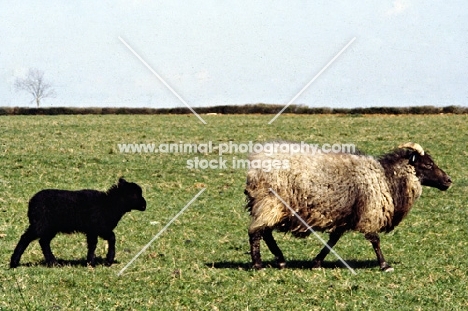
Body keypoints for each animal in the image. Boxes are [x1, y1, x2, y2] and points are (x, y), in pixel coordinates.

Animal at [10, 178, 146, 268]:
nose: (145, 205)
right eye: (135, 194)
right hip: (40, 224)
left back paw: (53, 263)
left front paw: (90, 262)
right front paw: (107, 260)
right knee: (26, 238)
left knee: (43, 242)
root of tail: (31, 203)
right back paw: (14, 263)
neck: (109, 204)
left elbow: (92, 245)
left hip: (50, 227)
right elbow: (110, 238)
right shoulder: (98, 227)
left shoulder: (93, 230)